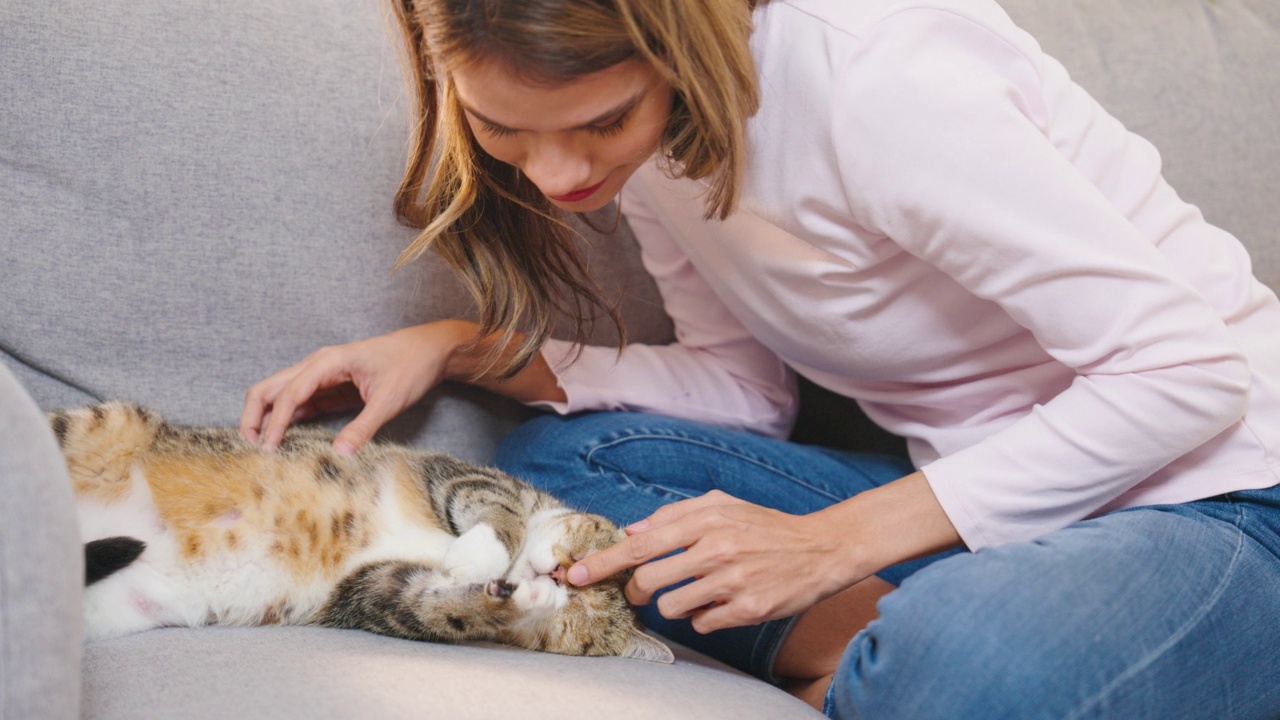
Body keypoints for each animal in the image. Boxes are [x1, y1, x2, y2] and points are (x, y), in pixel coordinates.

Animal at [49, 399, 675, 661]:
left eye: (581, 615)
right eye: (584, 562)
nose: (558, 576)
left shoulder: (368, 590)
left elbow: (433, 606)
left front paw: (517, 598)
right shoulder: (454, 473)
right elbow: (498, 513)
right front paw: (480, 554)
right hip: (106, 423)